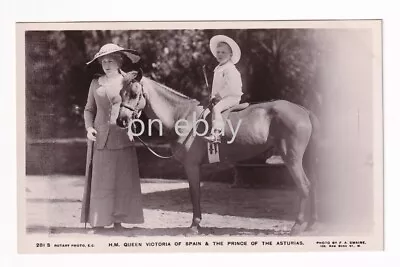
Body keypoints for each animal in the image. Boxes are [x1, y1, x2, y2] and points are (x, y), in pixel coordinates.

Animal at [115, 71, 318, 237]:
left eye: (134, 94)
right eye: (120, 93)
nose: (121, 120)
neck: (182, 116)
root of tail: (303, 110)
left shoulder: (192, 166)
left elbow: (194, 193)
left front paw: (194, 226)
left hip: (292, 159)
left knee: (305, 186)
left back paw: (297, 226)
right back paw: (310, 225)